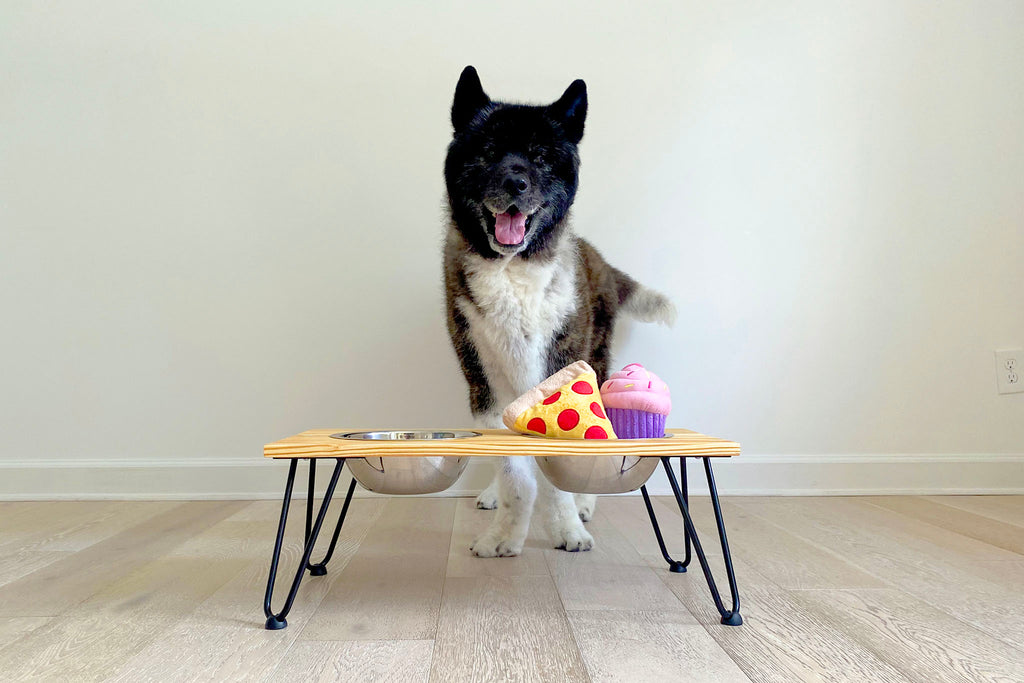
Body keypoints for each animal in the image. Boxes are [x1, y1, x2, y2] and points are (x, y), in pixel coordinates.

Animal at [440, 65, 671, 557]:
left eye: (541, 158)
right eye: (488, 153)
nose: (515, 183)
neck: (514, 270)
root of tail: (599, 258)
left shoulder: (565, 372)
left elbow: (563, 459)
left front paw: (567, 527)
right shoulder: (484, 384)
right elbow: (515, 472)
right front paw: (506, 534)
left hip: (598, 359)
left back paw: (583, 503)